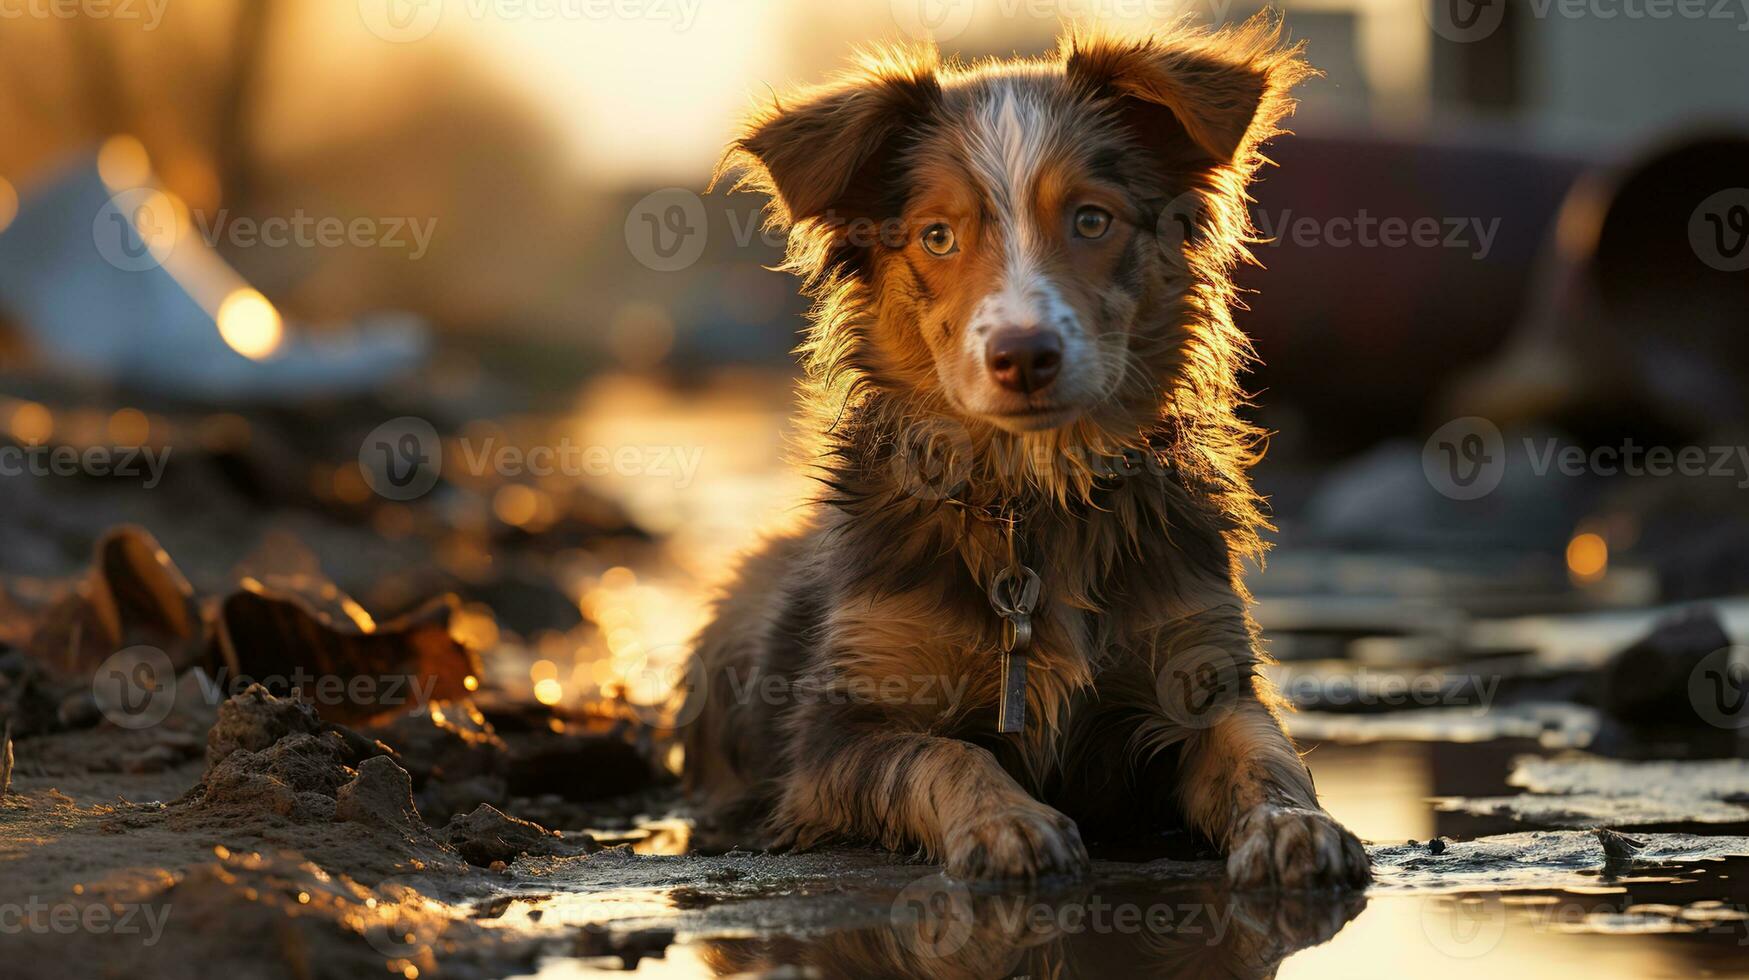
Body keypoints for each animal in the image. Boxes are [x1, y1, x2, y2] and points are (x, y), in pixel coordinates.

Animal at [675, 13, 1371, 889]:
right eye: (938, 236)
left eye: (1091, 220)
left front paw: (1291, 825)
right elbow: (941, 755)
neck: (1032, 498)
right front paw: (1008, 821)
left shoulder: (1200, 671)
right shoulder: (836, 734)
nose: (1023, 355)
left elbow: (1263, 754)